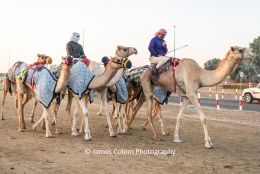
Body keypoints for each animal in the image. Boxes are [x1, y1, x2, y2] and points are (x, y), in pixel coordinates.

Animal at [126, 46, 254, 148]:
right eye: (240, 49)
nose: (253, 52)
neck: (200, 75)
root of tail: (142, 71)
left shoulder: (187, 96)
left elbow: (179, 116)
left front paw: (177, 138)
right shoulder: (192, 93)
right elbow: (203, 118)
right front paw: (208, 143)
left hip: (146, 89)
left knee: (136, 108)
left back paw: (127, 129)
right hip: (146, 84)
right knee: (146, 109)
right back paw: (155, 135)